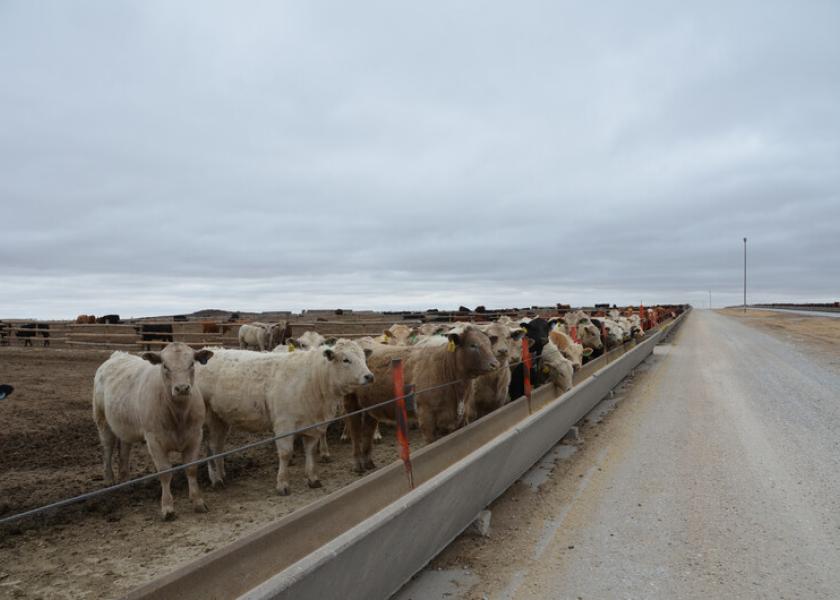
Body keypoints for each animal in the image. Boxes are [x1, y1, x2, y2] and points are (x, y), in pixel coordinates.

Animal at [92, 342, 213, 520]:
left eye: (192, 363)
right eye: (165, 365)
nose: (182, 388)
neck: (179, 415)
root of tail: (118, 355)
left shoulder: (195, 435)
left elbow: (191, 469)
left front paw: (198, 502)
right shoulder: (154, 440)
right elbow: (165, 472)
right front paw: (167, 508)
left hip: (125, 427)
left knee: (124, 450)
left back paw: (125, 481)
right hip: (103, 421)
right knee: (107, 448)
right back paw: (109, 480)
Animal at [199, 340, 372, 494]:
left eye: (364, 358)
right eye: (346, 359)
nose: (369, 376)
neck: (314, 379)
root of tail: (212, 349)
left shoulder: (313, 426)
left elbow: (310, 451)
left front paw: (313, 478)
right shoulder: (284, 424)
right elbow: (285, 453)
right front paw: (282, 484)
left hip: (221, 418)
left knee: (218, 446)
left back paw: (222, 475)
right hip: (209, 418)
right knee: (211, 447)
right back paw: (216, 480)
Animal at [342, 324, 498, 474]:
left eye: (489, 344)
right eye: (473, 345)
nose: (495, 364)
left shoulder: (459, 418)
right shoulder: (426, 417)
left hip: (371, 406)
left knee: (368, 430)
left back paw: (368, 462)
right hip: (351, 402)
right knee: (355, 431)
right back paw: (358, 465)